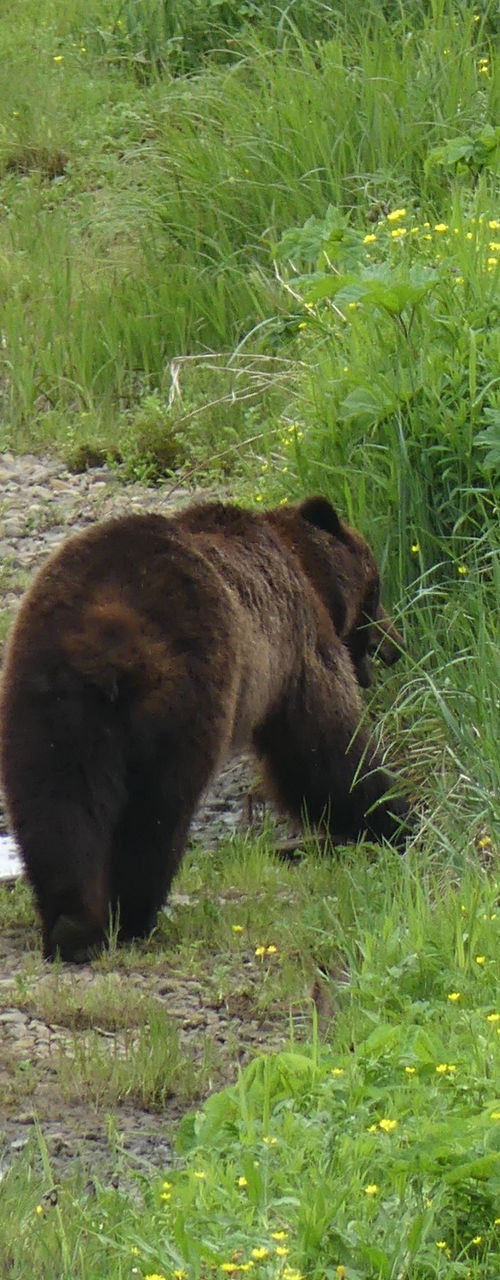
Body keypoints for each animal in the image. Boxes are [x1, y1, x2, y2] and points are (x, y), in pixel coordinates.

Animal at [0, 495, 409, 962]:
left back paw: (70, 923)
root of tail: (102, 633)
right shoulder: (295, 643)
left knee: (55, 807)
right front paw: (393, 814)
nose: (396, 644)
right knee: (156, 812)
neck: (307, 570)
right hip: (187, 691)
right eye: (377, 588)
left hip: (46, 701)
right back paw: (134, 916)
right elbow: (324, 746)